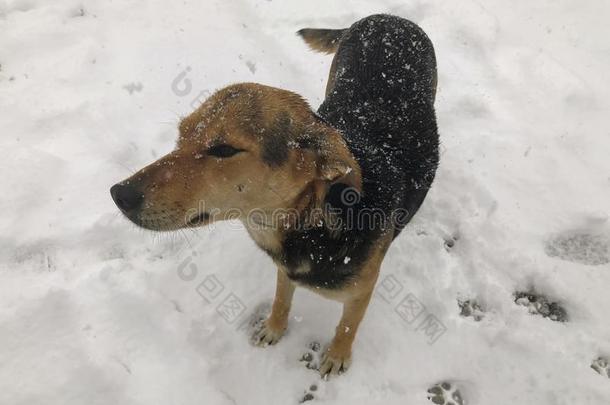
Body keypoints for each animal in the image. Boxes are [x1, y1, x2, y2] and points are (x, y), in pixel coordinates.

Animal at [110, 15, 436, 376]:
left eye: (224, 149)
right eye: (180, 134)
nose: (119, 194)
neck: (314, 222)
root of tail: (389, 18)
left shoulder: (361, 291)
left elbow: (347, 326)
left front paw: (337, 355)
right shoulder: (284, 268)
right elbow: (282, 299)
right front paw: (274, 328)